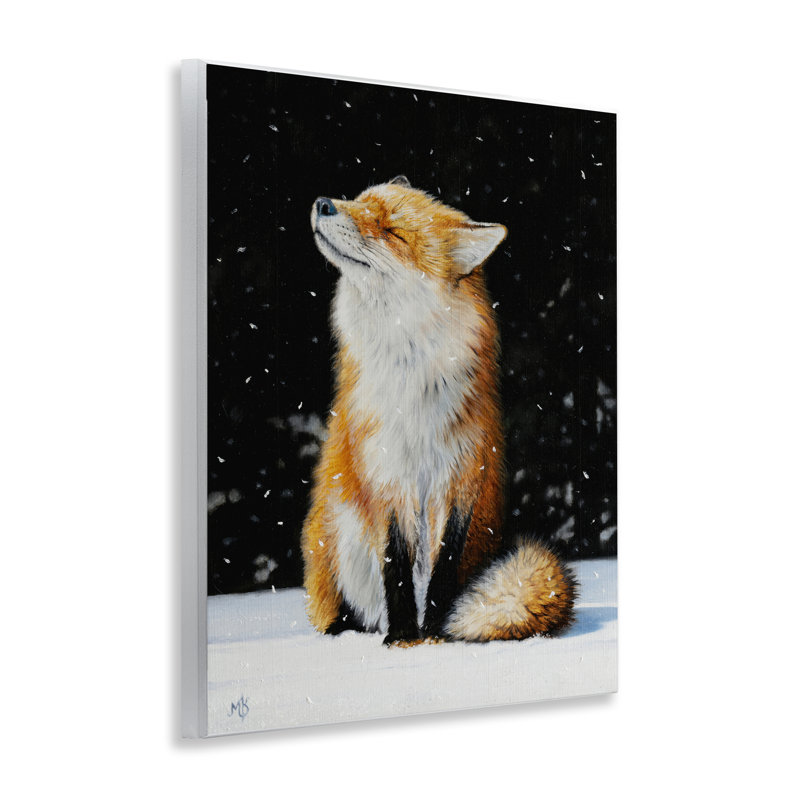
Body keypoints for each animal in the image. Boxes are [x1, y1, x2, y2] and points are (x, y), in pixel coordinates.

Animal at [301, 175, 576, 645]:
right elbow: (395, 566)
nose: (323, 203)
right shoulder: (388, 477)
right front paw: (403, 638)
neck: (412, 389)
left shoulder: (462, 475)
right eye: (359, 200)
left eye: (393, 232)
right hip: (335, 537)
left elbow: (444, 567)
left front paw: (434, 633)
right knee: (346, 609)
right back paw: (351, 629)